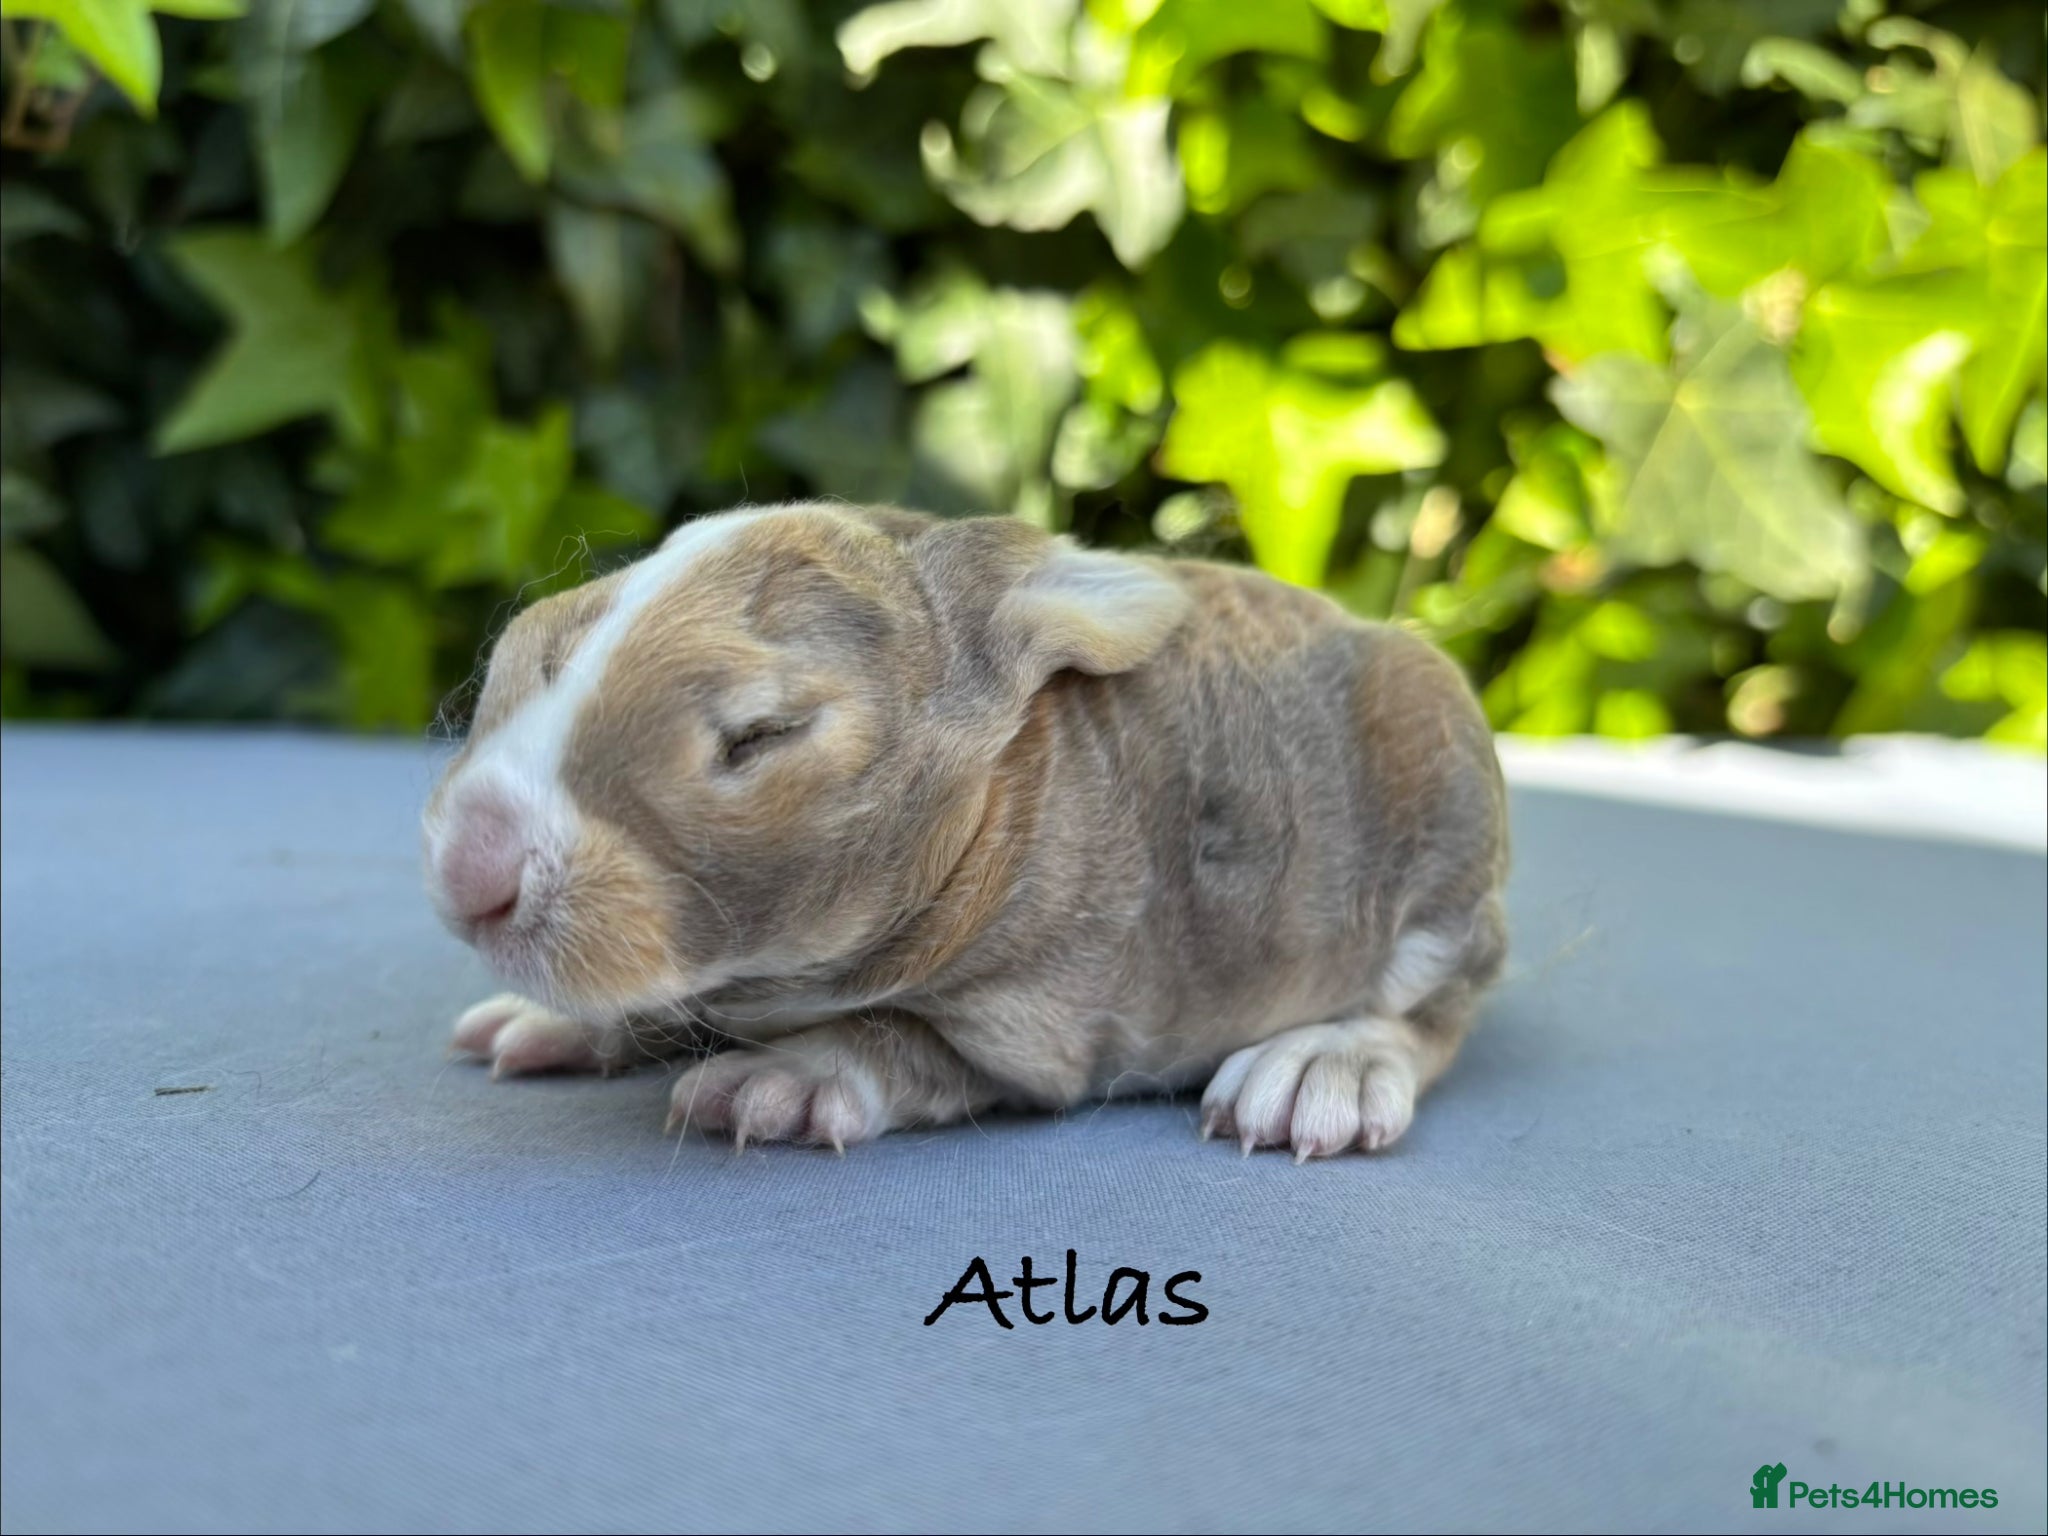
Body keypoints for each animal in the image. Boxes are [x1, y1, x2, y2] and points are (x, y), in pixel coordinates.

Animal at [423, 501, 1507, 1159]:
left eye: (761, 736)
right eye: (531, 651)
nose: (469, 872)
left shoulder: (1031, 1031)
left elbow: (898, 1040)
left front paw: (771, 1083)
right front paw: (549, 1022)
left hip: (1444, 851)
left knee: (1428, 1017)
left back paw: (1321, 1073)